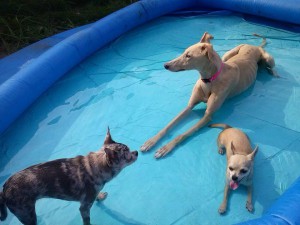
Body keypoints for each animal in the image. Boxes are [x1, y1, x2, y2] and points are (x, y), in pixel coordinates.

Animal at [141, 31, 276, 158]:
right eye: (184, 52)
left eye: (188, 55)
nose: (165, 65)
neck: (209, 80)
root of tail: (255, 46)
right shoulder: (189, 106)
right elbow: (169, 124)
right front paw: (151, 141)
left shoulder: (207, 116)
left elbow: (183, 134)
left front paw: (166, 147)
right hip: (229, 53)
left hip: (269, 59)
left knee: (270, 66)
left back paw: (273, 73)